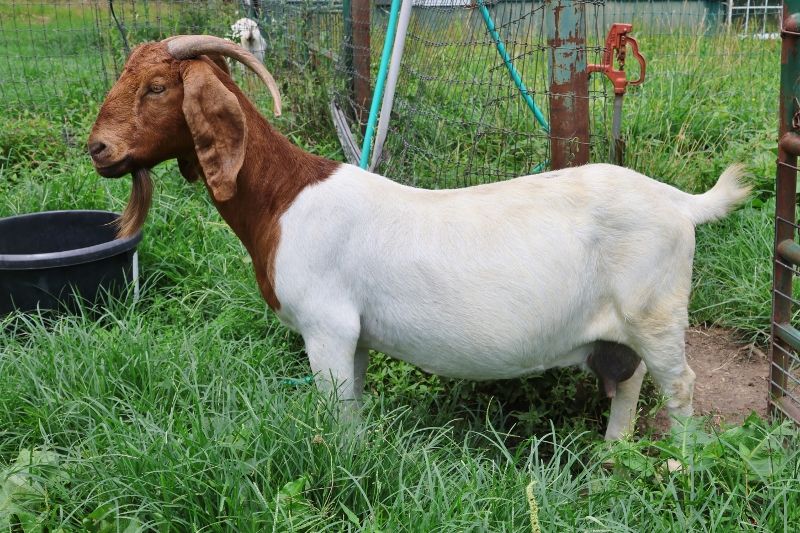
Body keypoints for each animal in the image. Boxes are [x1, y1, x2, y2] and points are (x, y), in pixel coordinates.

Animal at [88, 35, 750, 440]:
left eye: (156, 87)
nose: (98, 149)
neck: (284, 199)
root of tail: (679, 202)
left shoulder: (327, 326)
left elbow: (337, 414)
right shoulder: (355, 336)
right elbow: (353, 408)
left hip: (656, 313)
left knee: (679, 385)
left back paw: (681, 463)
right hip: (623, 329)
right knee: (628, 380)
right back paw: (613, 454)